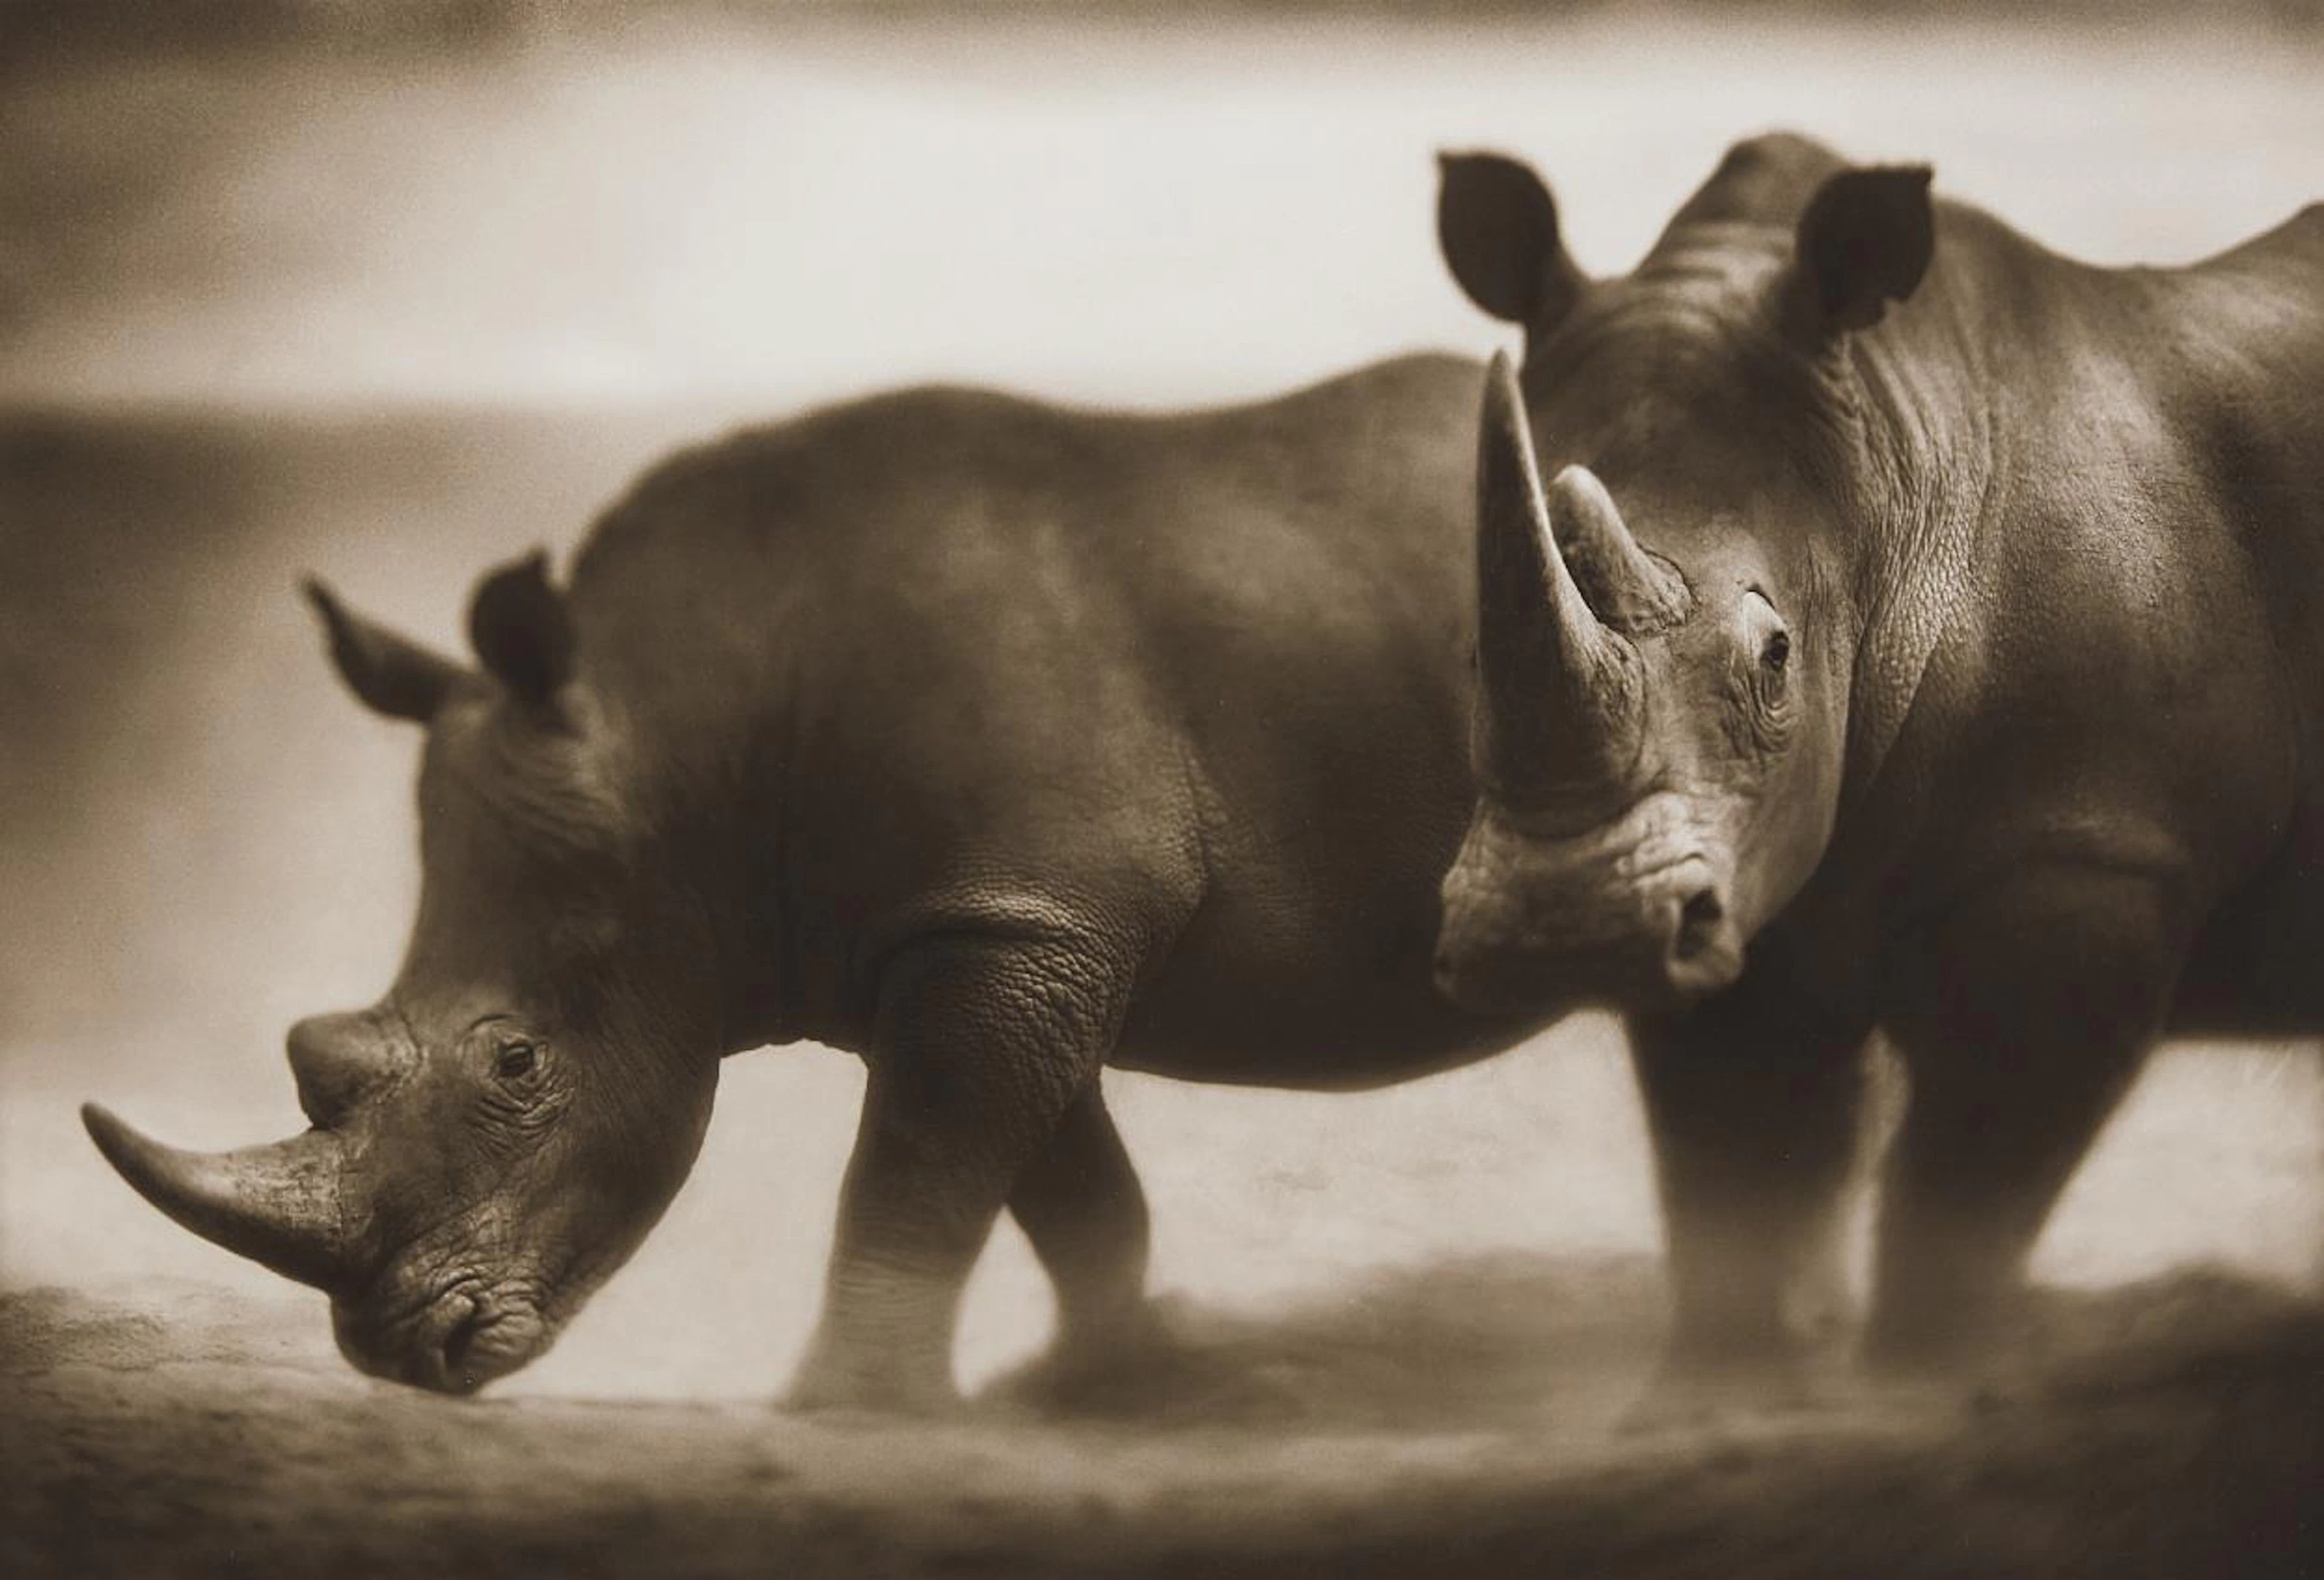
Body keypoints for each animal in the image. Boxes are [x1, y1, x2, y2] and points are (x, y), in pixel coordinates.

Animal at [82, 352, 1557, 1405]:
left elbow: (913, 1179)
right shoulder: (997, 925)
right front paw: (1099, 1383)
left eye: (516, 1062)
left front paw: (841, 1411)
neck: (680, 735)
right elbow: (1062, 1190)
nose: (399, 1353)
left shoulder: (1015, 921)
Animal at [1431, 132, 2324, 1377]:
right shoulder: (1741, 866)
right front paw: (1733, 1382)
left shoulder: (2093, 846)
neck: (1888, 477)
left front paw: (1930, 1377)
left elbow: (1966, 1187)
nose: (1566, 928)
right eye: (1468, 648)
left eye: (1775, 658)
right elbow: (1740, 1174)